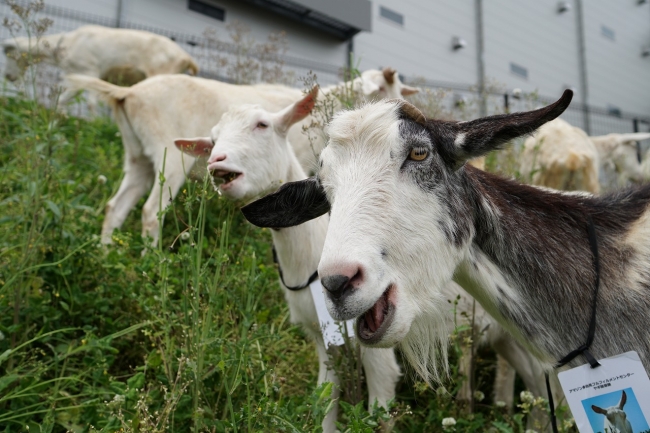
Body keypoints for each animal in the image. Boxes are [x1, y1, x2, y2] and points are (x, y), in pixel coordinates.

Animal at [2, 25, 197, 107]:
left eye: (10, 55)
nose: (8, 77)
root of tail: (186, 57)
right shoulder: (80, 77)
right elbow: (64, 99)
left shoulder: (90, 72)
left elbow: (90, 103)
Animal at [64, 66, 416, 245]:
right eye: (382, 89)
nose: (404, 110)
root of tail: (128, 93)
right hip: (169, 158)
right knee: (151, 211)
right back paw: (151, 261)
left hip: (138, 158)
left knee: (115, 206)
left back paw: (106, 255)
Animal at [172, 88, 398, 432]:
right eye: (211, 140)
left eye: (262, 124)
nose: (216, 163)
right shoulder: (321, 337)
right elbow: (325, 397)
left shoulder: (382, 347)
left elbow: (380, 411)